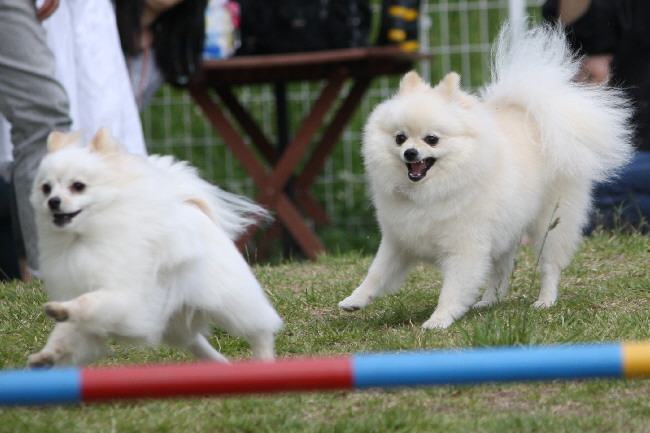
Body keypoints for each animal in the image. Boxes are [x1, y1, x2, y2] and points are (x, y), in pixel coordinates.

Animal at [28, 128, 283, 366]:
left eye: (78, 186)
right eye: (46, 188)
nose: (53, 202)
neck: (83, 238)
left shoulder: (125, 296)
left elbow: (91, 302)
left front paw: (63, 311)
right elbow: (65, 333)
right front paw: (47, 355)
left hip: (227, 302)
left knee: (259, 330)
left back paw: (263, 360)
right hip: (174, 317)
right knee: (194, 341)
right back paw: (218, 364)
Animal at [339, 23, 634, 329]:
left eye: (432, 139)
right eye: (399, 138)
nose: (410, 153)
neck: (428, 192)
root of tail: (534, 115)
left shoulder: (465, 248)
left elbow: (453, 289)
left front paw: (439, 319)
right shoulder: (399, 242)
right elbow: (376, 274)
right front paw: (355, 300)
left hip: (550, 223)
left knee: (549, 265)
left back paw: (545, 300)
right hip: (504, 229)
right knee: (502, 269)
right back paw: (491, 300)